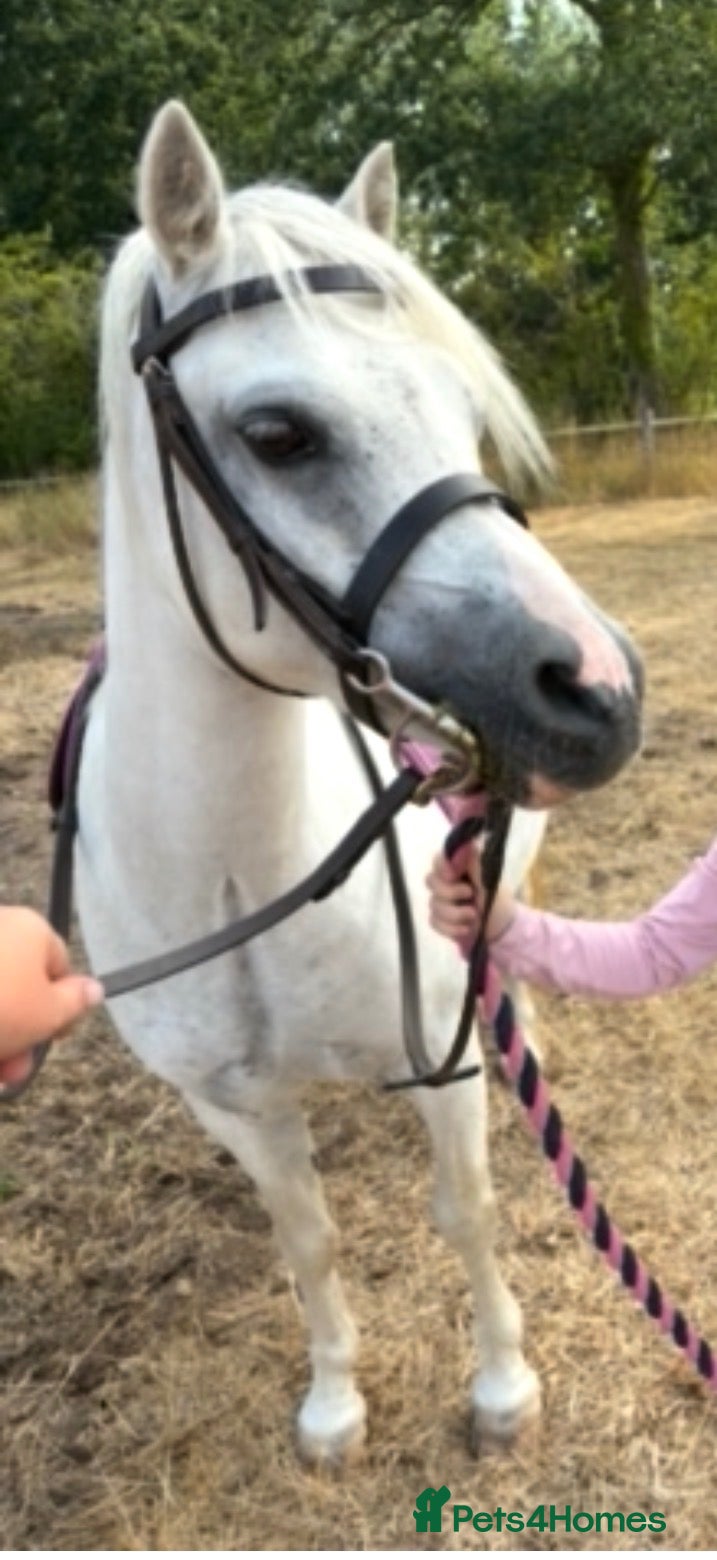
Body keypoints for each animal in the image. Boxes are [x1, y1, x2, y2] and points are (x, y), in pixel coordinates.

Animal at [75, 100, 643, 1461]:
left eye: (460, 405)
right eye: (280, 434)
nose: (600, 689)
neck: (239, 880)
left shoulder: (444, 1062)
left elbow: (467, 1211)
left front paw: (501, 1390)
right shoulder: (234, 1108)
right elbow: (309, 1240)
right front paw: (334, 1401)